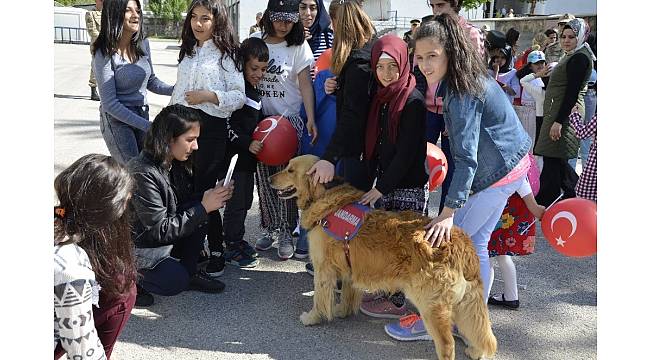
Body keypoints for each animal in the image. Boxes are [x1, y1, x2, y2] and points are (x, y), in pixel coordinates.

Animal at [268, 155, 496, 360]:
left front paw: (313, 318)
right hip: (465, 304)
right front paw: (342, 311)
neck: (326, 199)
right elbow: (348, 294)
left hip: (431, 305)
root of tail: (460, 241)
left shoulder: (323, 269)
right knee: (481, 332)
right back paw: (476, 351)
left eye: (290, 170)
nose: (270, 178)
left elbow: (320, 299)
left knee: (447, 345)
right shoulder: (350, 267)